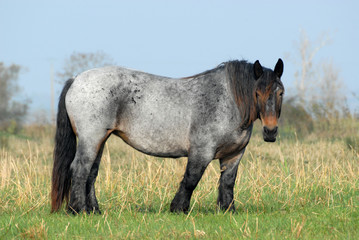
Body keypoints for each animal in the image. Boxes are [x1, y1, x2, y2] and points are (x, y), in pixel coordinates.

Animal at [52, 58, 286, 214]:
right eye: (257, 93)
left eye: (280, 92)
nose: (270, 131)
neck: (227, 101)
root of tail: (76, 80)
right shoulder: (201, 151)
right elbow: (191, 179)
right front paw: (178, 208)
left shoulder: (234, 155)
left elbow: (228, 182)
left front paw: (227, 210)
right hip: (91, 139)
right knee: (80, 170)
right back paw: (78, 210)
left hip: (100, 140)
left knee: (91, 173)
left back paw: (94, 210)